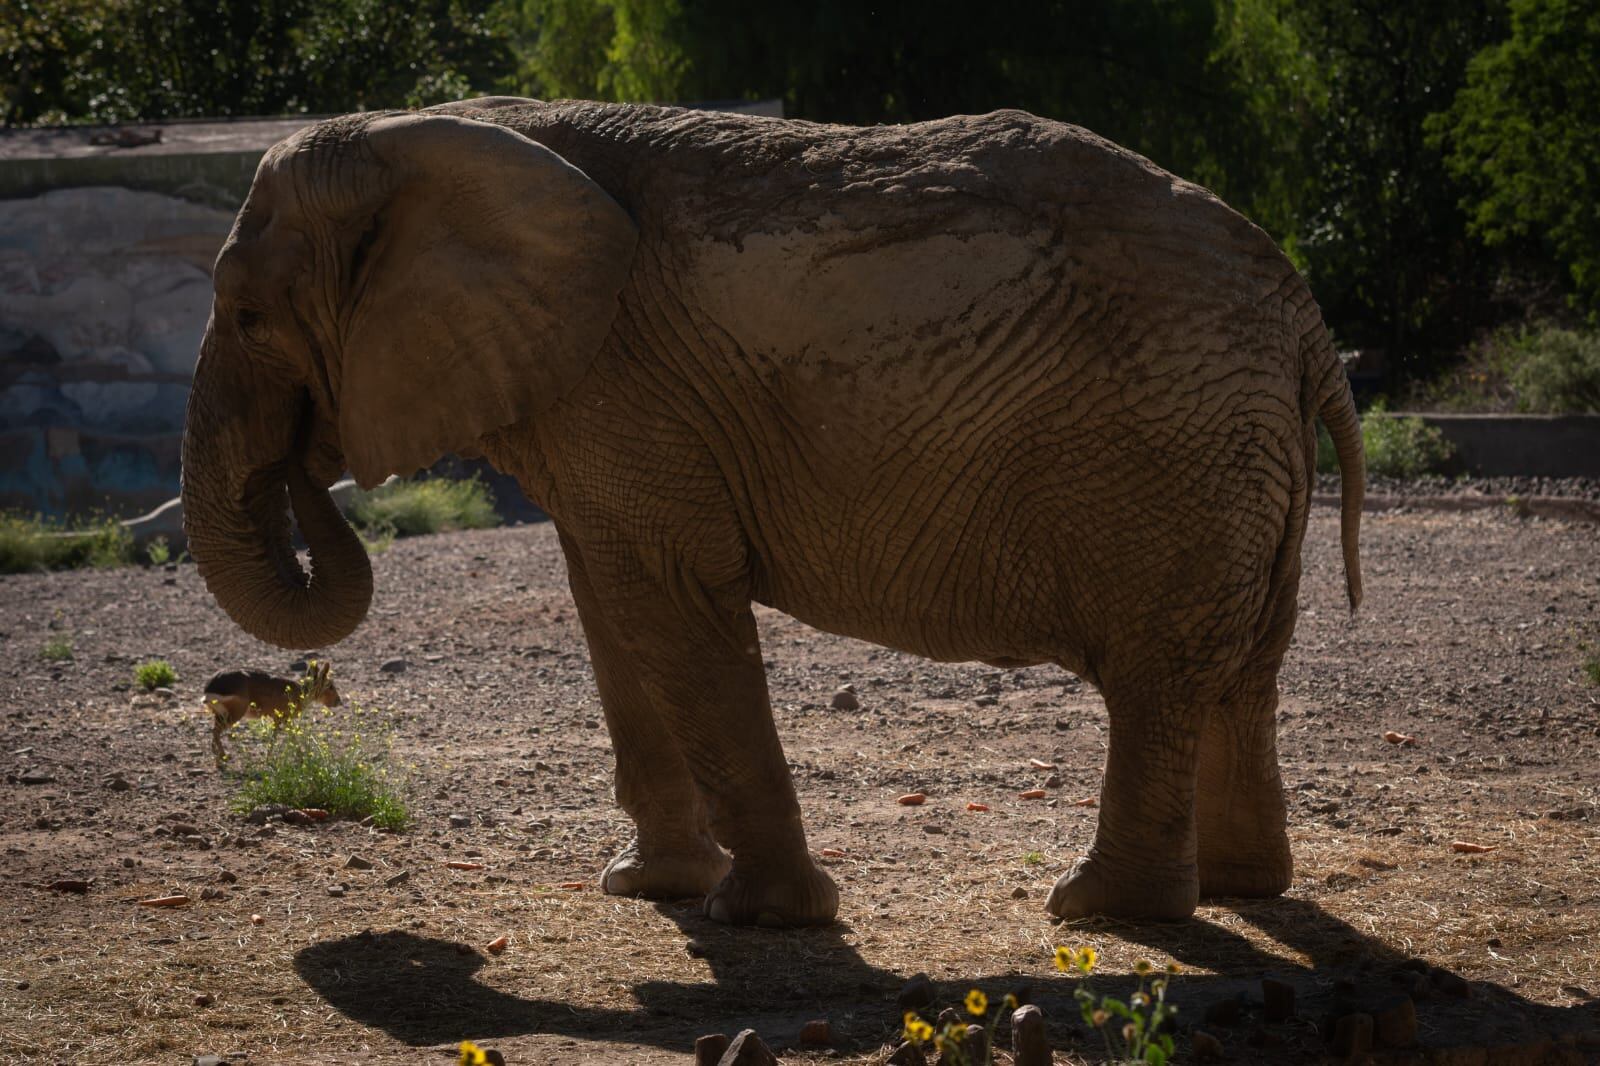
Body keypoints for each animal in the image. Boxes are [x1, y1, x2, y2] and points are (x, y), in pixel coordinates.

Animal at [184, 101, 1363, 928]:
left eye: (245, 312)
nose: (307, 460)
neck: (424, 132)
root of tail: (1303, 312)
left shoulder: (624, 380)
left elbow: (668, 606)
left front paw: (758, 918)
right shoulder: (596, 401)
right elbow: (608, 607)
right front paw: (648, 888)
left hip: (1171, 453)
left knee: (1159, 673)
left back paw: (1102, 910)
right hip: (1242, 458)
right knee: (1247, 663)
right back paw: (1242, 890)